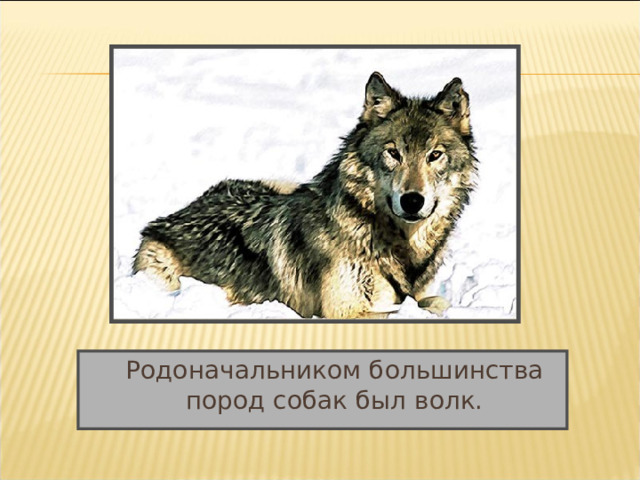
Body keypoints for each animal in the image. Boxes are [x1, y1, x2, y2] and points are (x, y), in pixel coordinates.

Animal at [133, 72, 477, 319]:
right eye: (393, 153)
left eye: (434, 155)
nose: (412, 201)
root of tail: (179, 212)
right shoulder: (346, 311)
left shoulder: (420, 292)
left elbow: (436, 302)